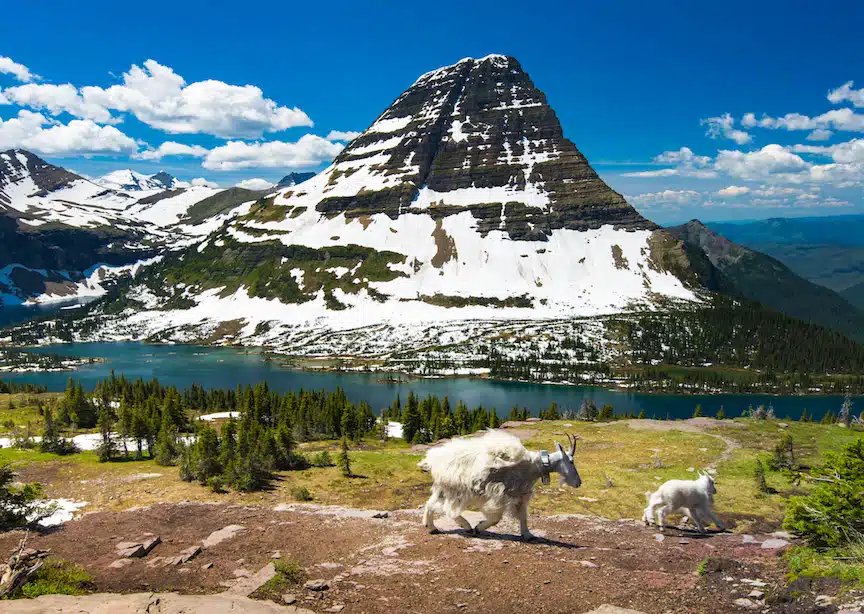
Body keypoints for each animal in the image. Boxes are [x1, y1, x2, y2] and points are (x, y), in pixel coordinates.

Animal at [418, 430, 580, 540]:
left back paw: (431, 527)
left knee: (430, 504)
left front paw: (528, 534)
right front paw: (478, 527)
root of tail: (432, 459)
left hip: (443, 488)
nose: (578, 483)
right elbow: (496, 518)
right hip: (455, 488)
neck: (533, 466)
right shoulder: (496, 494)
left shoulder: (520, 495)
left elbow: (523, 516)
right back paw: (466, 526)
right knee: (447, 508)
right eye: (571, 461)